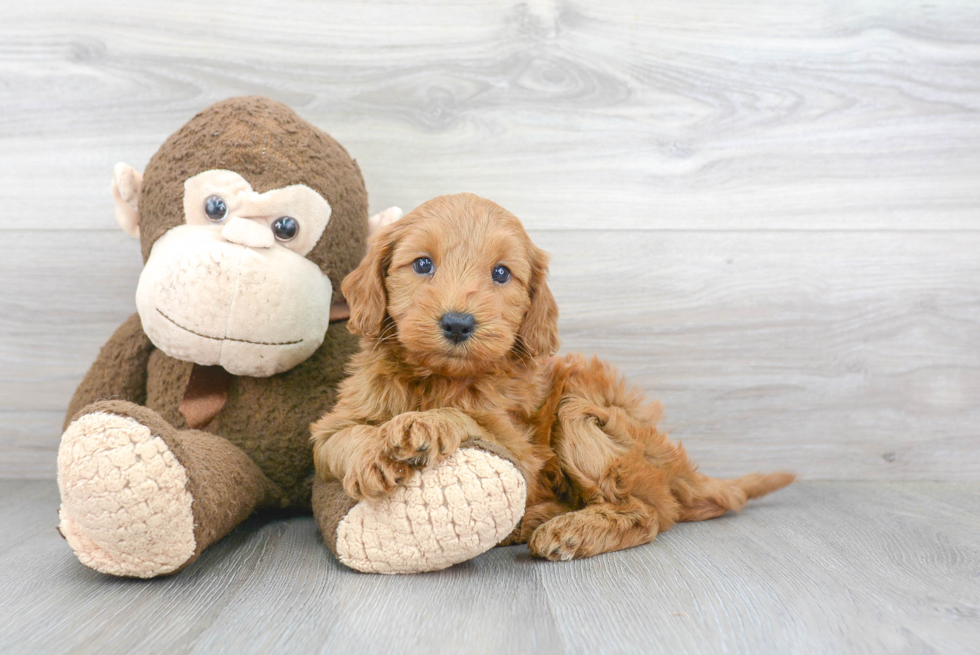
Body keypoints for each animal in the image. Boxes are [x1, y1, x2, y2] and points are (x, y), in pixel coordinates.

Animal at [310, 192, 792, 560]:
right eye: (423, 264)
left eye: (501, 273)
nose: (458, 324)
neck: (440, 377)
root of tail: (681, 469)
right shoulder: (333, 424)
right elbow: (341, 438)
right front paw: (375, 453)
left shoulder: (522, 449)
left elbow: (468, 418)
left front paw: (425, 423)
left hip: (579, 410)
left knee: (649, 512)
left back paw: (568, 530)